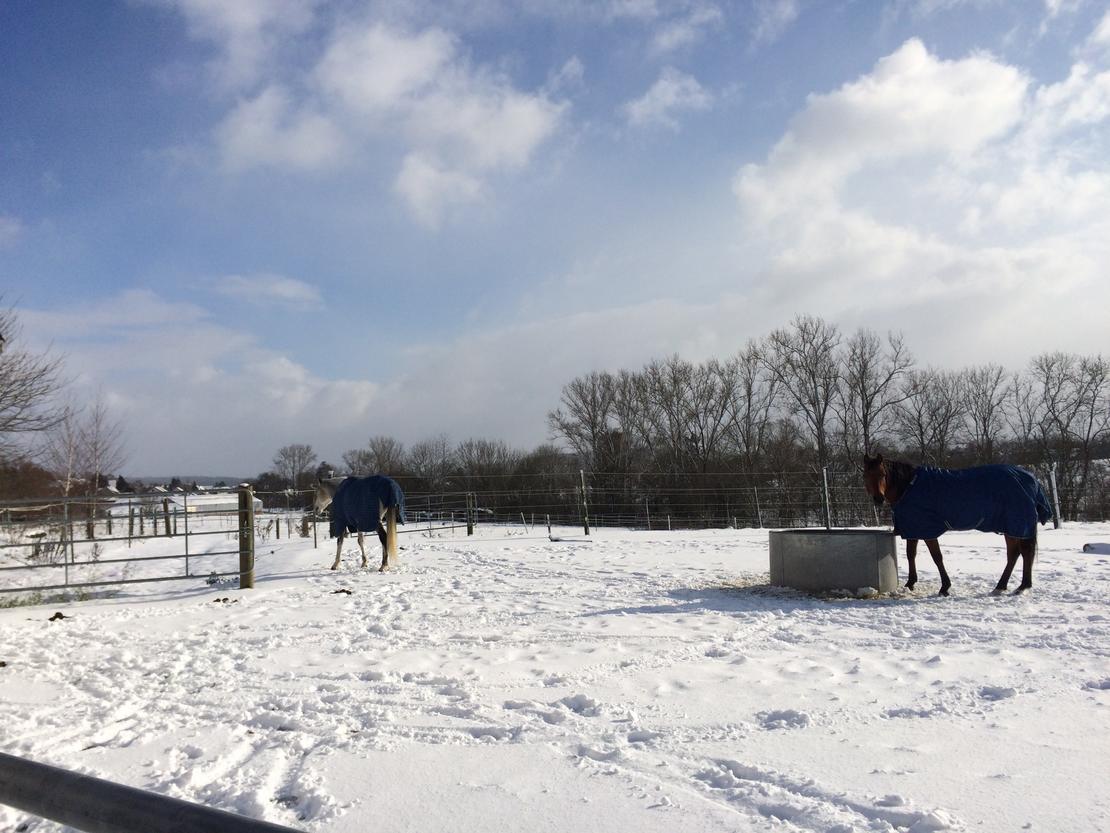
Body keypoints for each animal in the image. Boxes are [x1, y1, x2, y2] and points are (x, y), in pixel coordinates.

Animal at [862, 454, 1052, 596]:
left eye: (882, 474)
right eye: (866, 475)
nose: (878, 499)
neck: (909, 486)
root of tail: (1032, 479)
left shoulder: (927, 530)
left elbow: (937, 557)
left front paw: (944, 587)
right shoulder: (914, 528)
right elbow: (911, 555)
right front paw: (910, 583)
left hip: (1017, 525)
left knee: (1024, 552)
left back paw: (1022, 586)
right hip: (1009, 527)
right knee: (1014, 554)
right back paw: (1002, 586)